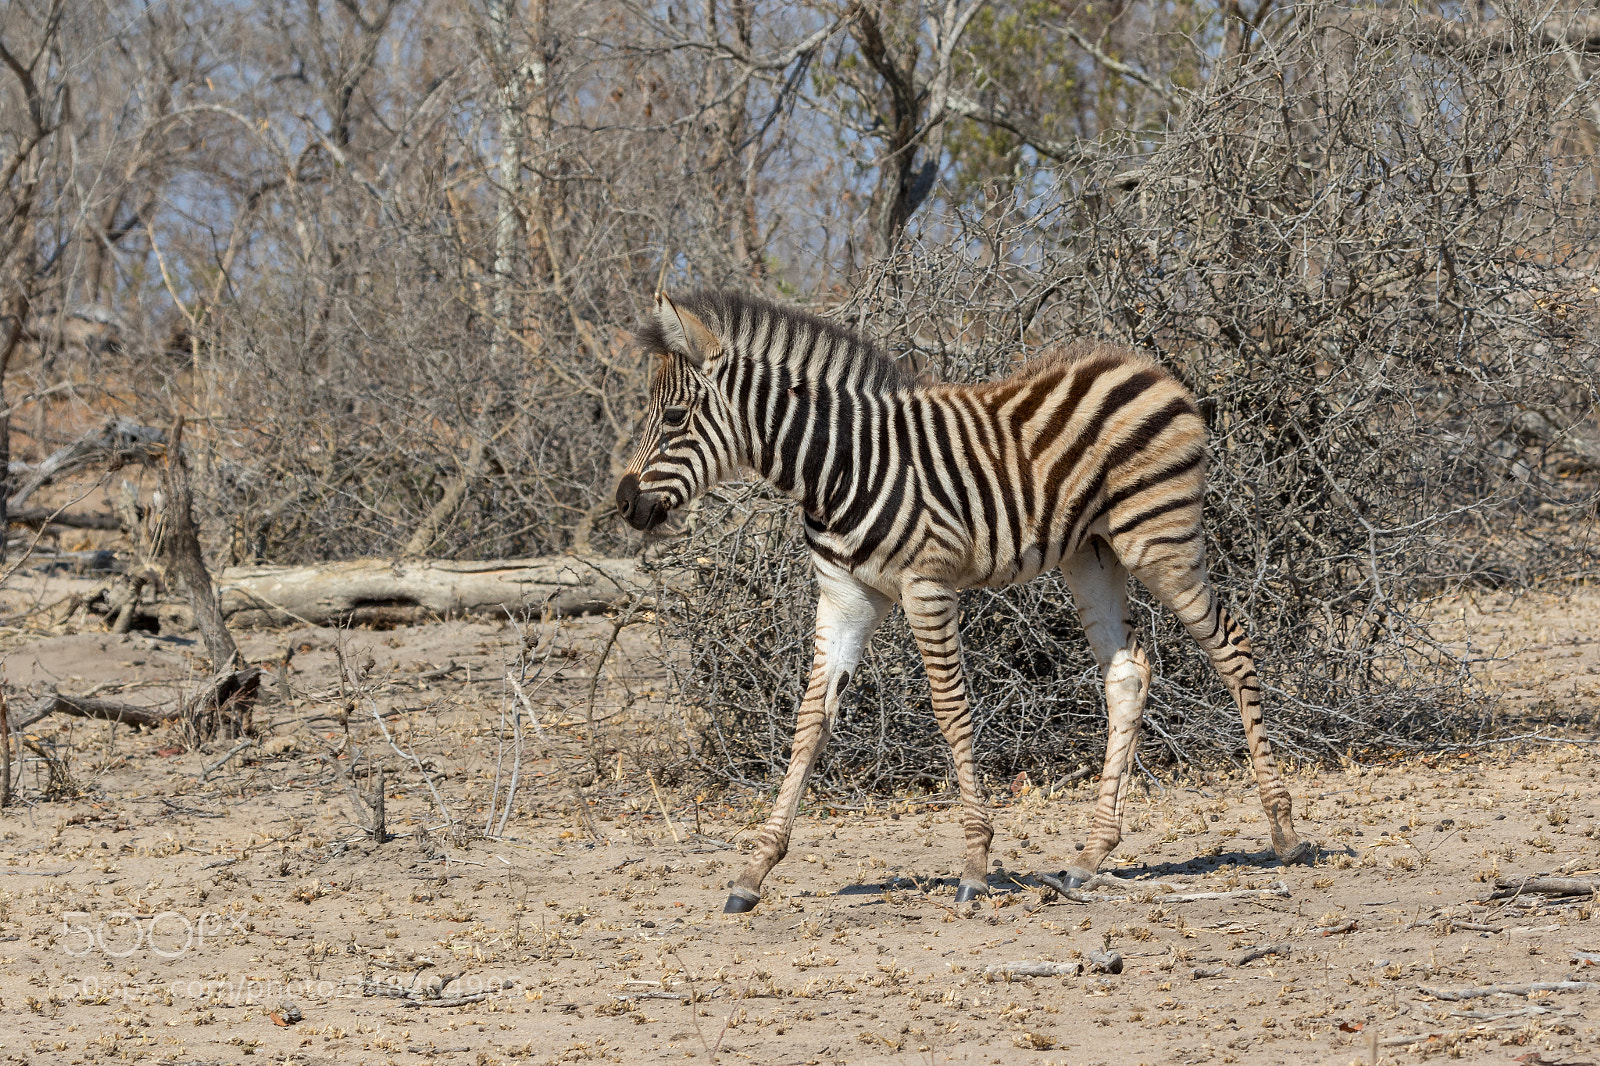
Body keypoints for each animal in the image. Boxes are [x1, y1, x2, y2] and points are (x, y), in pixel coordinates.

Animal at [616, 289, 1315, 913]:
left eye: (674, 420)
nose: (624, 504)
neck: (835, 468)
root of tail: (1146, 364)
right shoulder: (846, 597)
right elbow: (810, 721)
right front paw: (754, 872)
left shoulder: (927, 586)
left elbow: (950, 709)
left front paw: (976, 866)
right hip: (1091, 555)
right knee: (1128, 672)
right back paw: (1089, 857)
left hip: (1159, 540)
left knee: (1232, 645)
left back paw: (1283, 833)